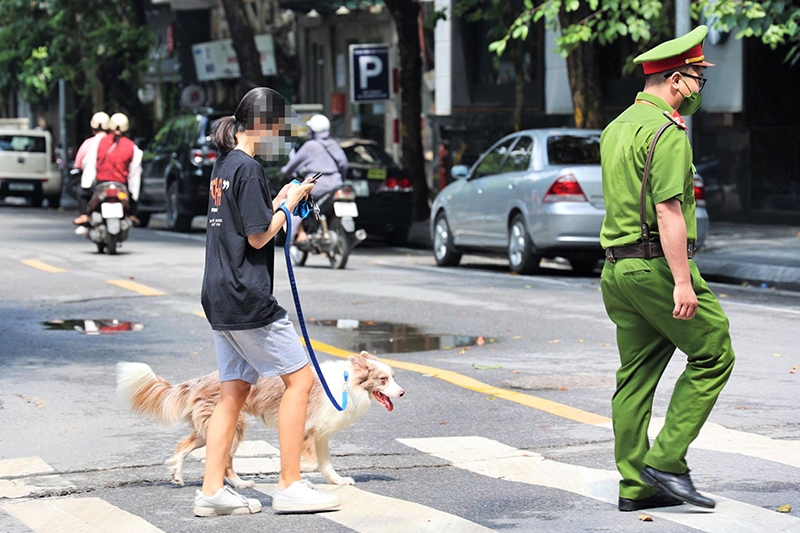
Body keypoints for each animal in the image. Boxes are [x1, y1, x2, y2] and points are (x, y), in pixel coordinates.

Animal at [115, 352, 404, 488]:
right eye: (383, 379)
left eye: (392, 377)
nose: (402, 392)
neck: (347, 385)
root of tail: (199, 380)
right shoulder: (306, 428)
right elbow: (310, 462)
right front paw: (294, 470)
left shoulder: (320, 434)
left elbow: (326, 464)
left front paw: (338, 481)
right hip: (235, 425)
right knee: (225, 463)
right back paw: (240, 483)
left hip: (208, 426)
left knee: (183, 445)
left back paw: (177, 473)